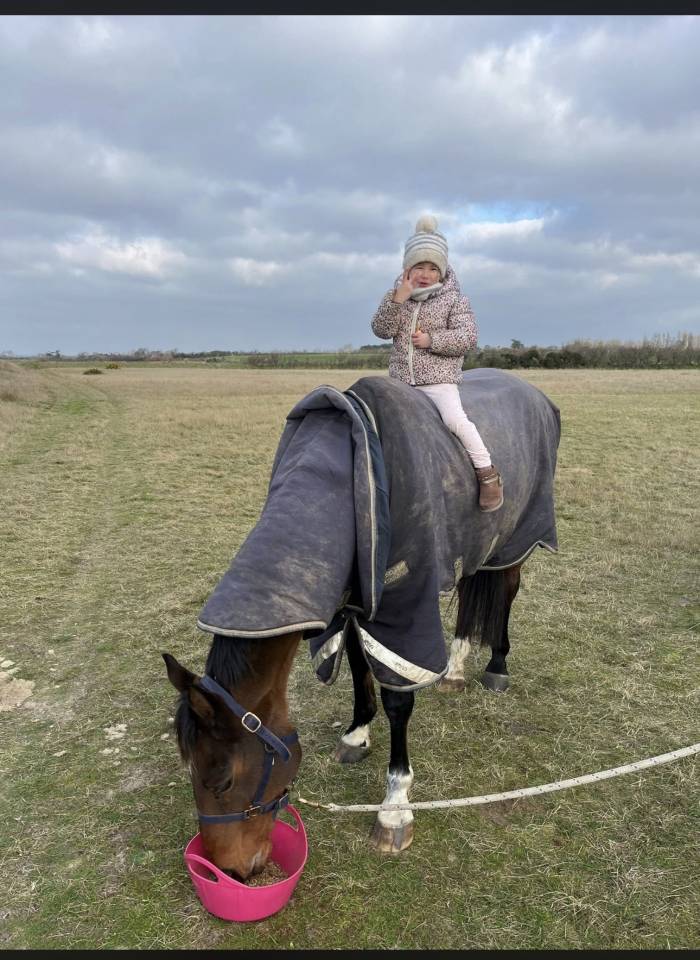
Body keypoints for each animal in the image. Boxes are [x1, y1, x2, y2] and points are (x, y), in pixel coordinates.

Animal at [163, 370, 560, 879]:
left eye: (223, 780)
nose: (229, 871)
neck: (350, 485)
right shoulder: (349, 606)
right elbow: (356, 666)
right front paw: (356, 734)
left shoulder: (403, 612)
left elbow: (397, 700)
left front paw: (394, 808)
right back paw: (454, 670)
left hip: (515, 539)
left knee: (506, 590)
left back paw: (497, 667)